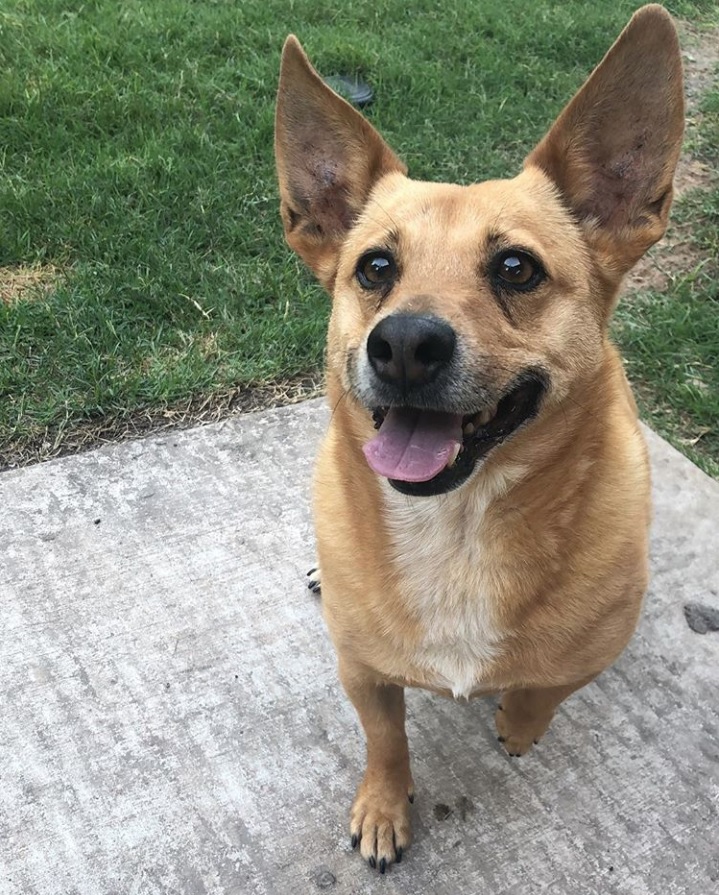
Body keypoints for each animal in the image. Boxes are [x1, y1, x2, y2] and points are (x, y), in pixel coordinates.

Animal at [274, 3, 688, 876]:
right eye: (373, 267)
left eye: (515, 267)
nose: (403, 344)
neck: (457, 527)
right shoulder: (361, 671)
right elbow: (385, 738)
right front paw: (384, 806)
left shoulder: (588, 654)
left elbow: (542, 689)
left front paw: (517, 726)